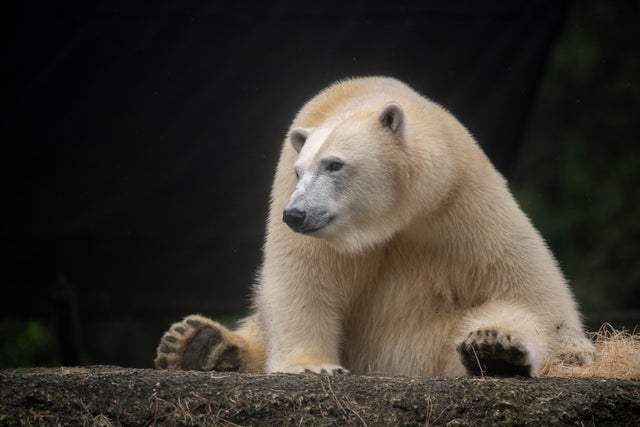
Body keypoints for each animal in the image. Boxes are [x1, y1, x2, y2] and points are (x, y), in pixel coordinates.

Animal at [155, 76, 595, 377]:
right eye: (300, 170)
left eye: (335, 164)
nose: (294, 215)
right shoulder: (306, 211)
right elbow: (303, 278)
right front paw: (312, 365)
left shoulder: (459, 198)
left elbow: (529, 293)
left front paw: (498, 345)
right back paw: (197, 343)